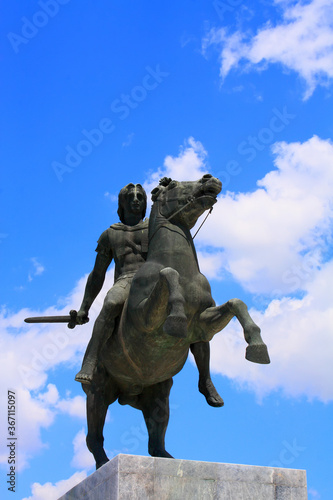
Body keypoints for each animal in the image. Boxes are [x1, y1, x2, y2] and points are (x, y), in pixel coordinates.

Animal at [83, 175, 270, 468]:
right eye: (171, 184)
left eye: (140, 196)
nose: (209, 178)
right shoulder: (145, 320)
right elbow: (168, 275)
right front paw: (177, 317)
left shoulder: (204, 324)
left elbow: (236, 303)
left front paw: (257, 347)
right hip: (98, 393)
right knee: (94, 437)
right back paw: (103, 460)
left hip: (158, 395)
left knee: (154, 440)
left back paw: (168, 455)